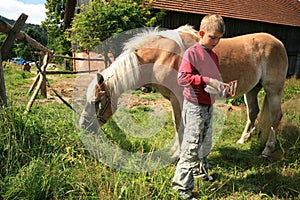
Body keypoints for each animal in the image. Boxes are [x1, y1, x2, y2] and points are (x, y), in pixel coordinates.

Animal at [79, 25, 288, 159]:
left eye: (97, 102)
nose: (83, 127)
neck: (161, 55)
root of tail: (278, 43)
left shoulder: (179, 97)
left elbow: (180, 124)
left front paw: (178, 154)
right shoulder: (174, 99)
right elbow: (178, 123)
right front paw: (176, 150)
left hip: (273, 90)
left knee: (276, 117)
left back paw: (267, 150)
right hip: (252, 90)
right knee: (253, 112)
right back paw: (243, 140)